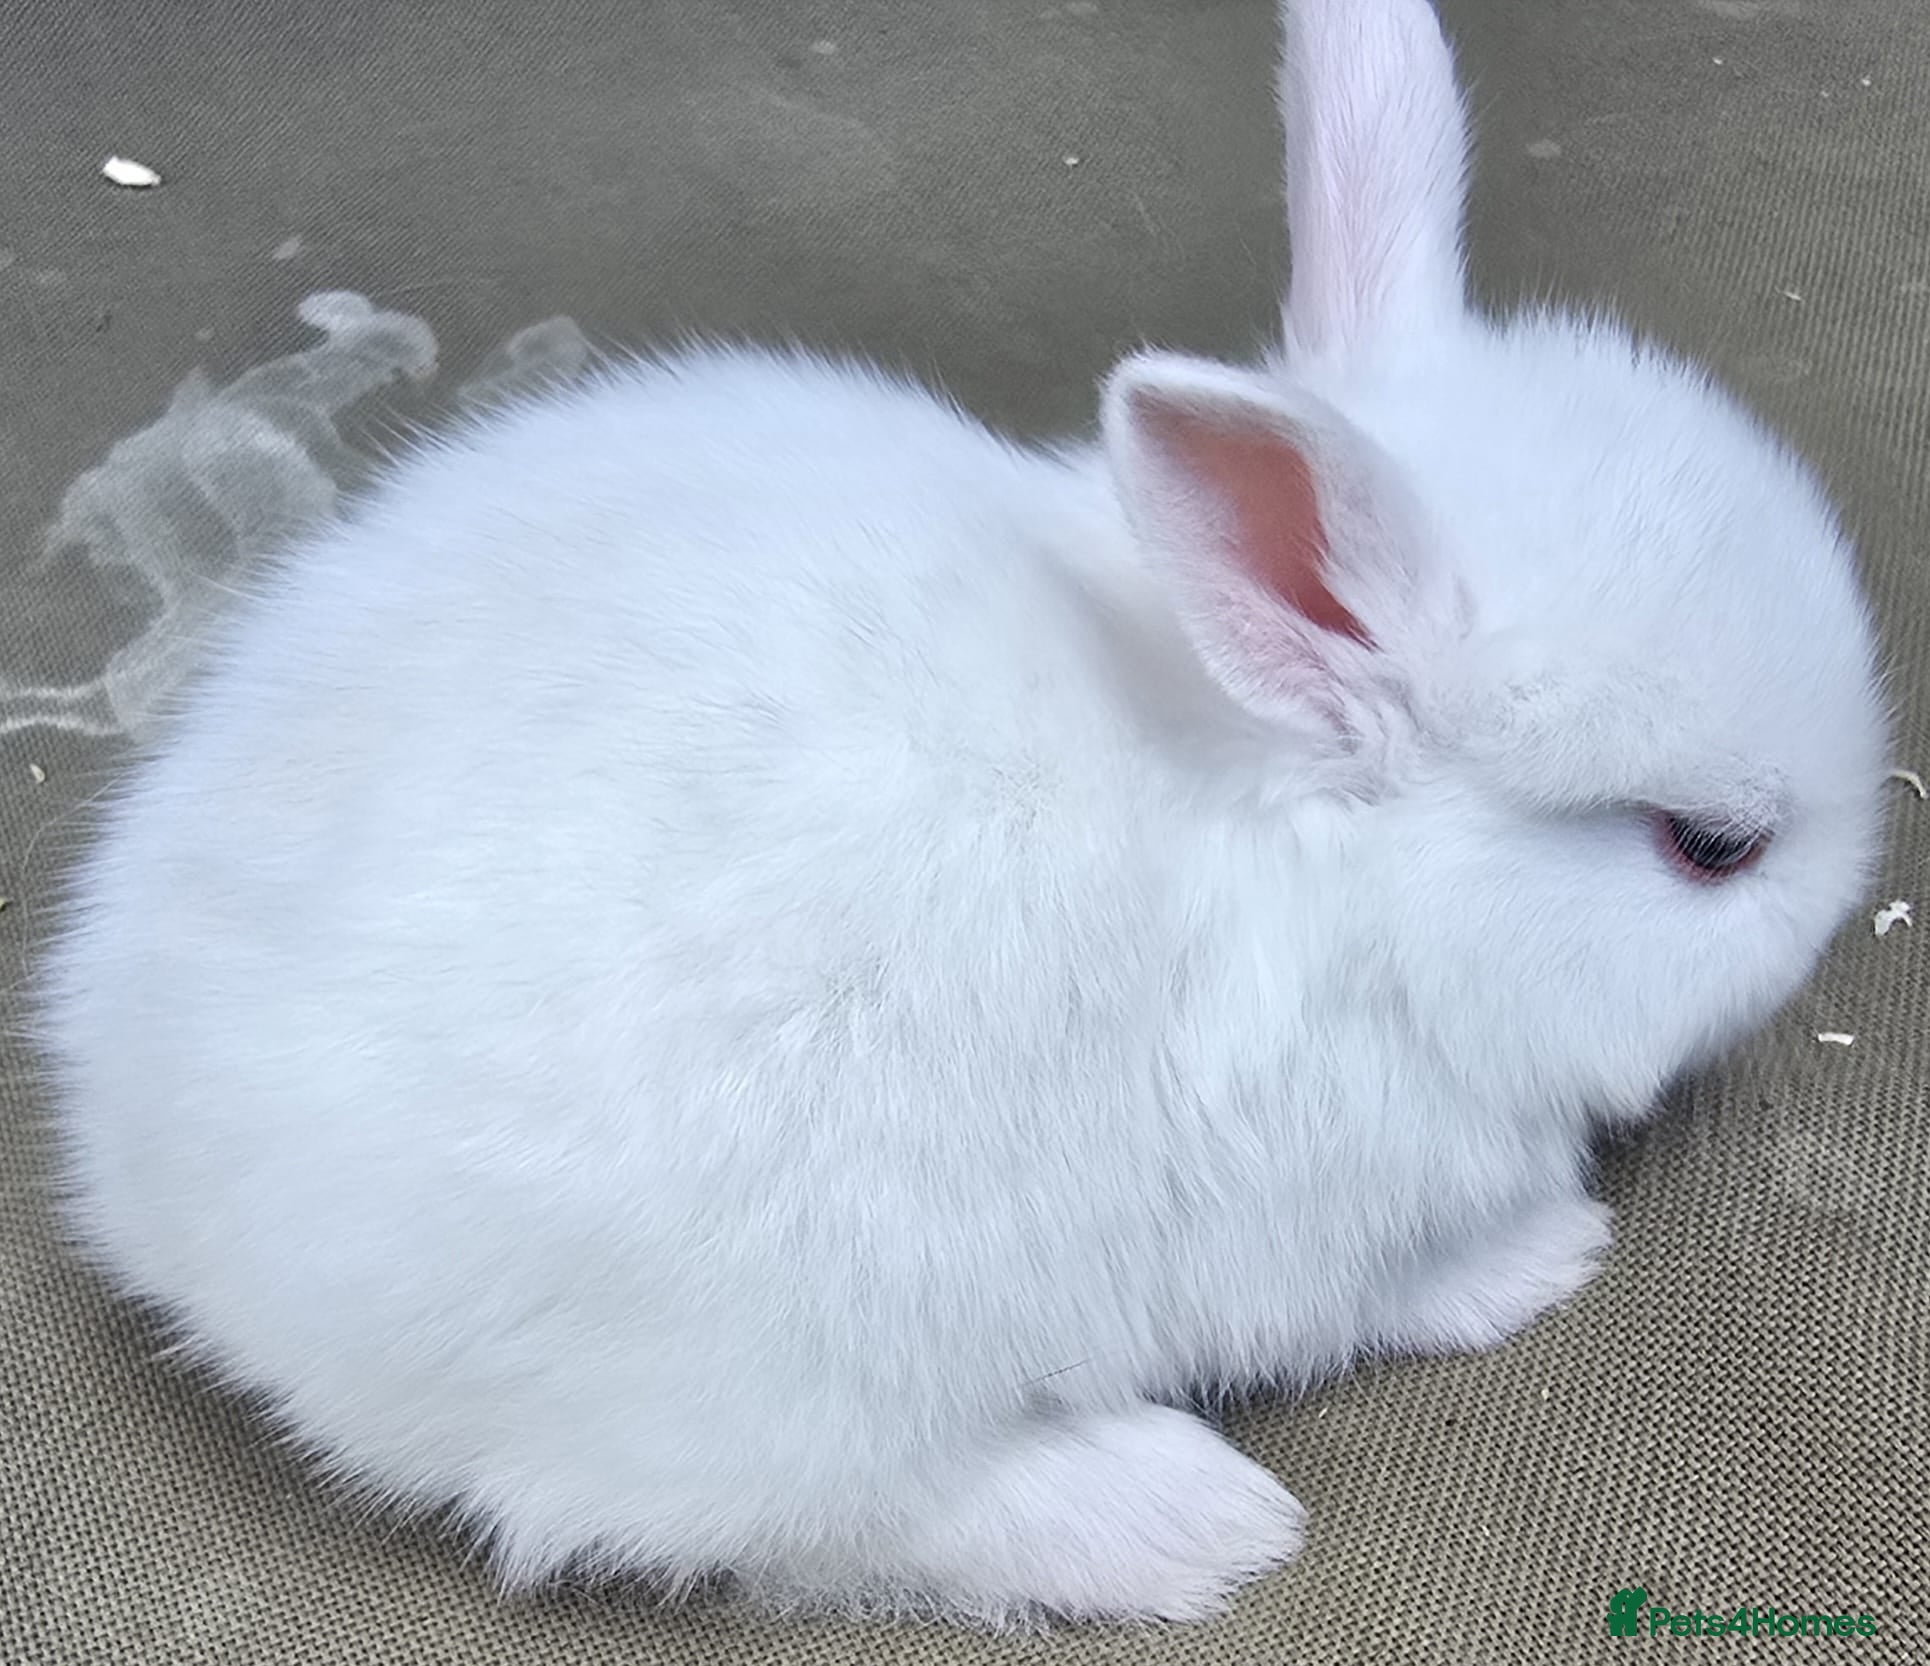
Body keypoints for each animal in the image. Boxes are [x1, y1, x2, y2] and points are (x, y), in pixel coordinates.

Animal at [36, 0, 1887, 1632]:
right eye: (1711, 847)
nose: (1835, 914)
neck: (1319, 862)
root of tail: (148, 1184)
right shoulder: (1300, 1219)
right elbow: (1384, 1285)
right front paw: (1543, 1254)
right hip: (780, 1353)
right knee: (780, 1508)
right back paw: (1180, 1519)